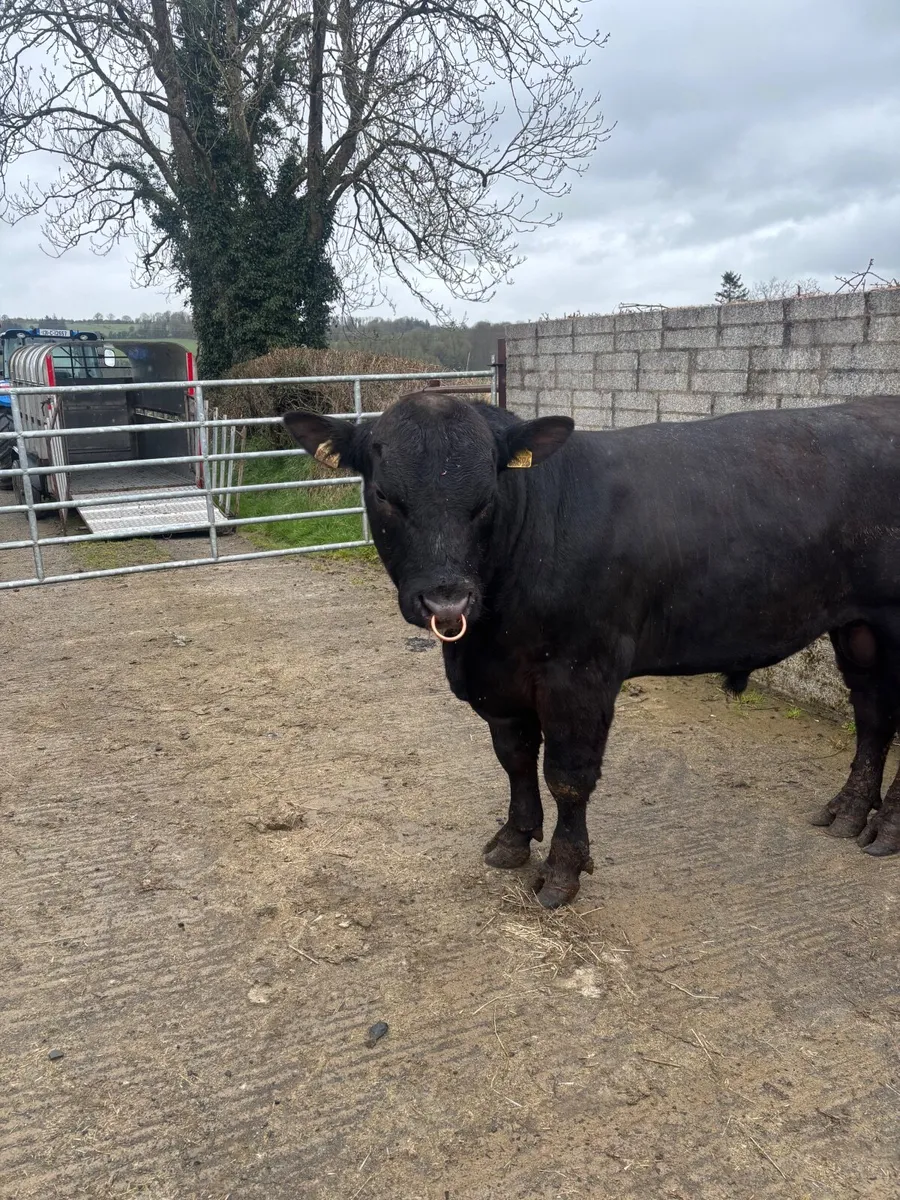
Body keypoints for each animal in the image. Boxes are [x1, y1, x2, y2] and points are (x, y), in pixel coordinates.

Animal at [284, 394, 900, 908]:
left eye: (485, 499)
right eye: (385, 495)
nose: (447, 598)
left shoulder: (581, 672)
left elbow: (567, 774)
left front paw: (561, 871)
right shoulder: (500, 681)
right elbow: (513, 758)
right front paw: (513, 839)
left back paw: (887, 827)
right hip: (860, 627)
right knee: (874, 715)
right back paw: (848, 811)